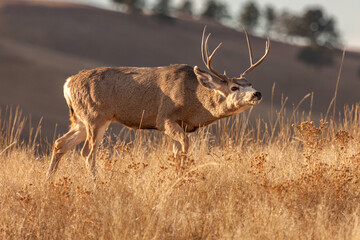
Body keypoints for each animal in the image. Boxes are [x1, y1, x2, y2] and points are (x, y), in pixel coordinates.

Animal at [45, 27, 270, 179]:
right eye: (234, 87)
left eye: (250, 83)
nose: (257, 93)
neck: (194, 100)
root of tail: (68, 83)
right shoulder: (164, 118)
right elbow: (185, 146)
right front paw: (182, 177)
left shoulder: (179, 125)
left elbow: (177, 151)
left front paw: (178, 175)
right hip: (96, 116)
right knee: (87, 153)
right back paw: (95, 182)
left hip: (81, 119)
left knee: (60, 144)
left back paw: (49, 180)